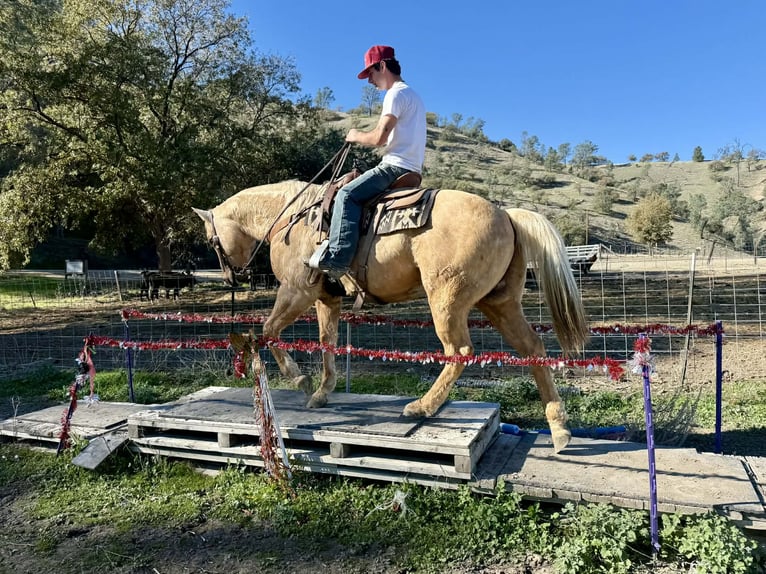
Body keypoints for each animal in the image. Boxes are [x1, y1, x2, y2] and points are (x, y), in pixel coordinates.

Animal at [194, 179, 588, 453]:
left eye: (212, 241)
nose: (232, 277)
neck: (293, 220)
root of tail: (506, 214)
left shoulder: (296, 290)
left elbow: (270, 329)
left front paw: (300, 379)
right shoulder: (326, 299)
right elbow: (327, 343)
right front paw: (322, 392)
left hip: (447, 301)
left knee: (459, 351)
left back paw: (422, 407)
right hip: (499, 302)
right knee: (532, 348)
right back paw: (560, 429)